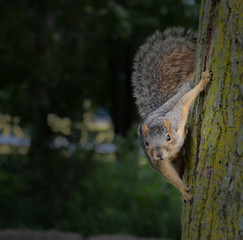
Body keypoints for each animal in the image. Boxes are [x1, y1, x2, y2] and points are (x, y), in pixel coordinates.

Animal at [131, 27, 211, 201]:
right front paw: (182, 189)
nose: (159, 154)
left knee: (183, 92)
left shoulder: (177, 117)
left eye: (168, 137)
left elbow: (184, 102)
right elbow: (167, 174)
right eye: (146, 143)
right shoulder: (157, 162)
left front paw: (202, 82)